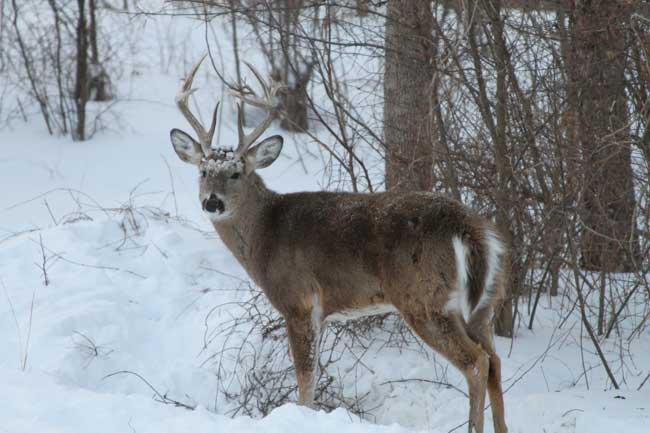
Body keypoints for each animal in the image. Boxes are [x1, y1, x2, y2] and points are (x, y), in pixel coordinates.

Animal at [170, 55, 508, 432]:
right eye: (203, 171)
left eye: (235, 172)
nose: (212, 202)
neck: (266, 234)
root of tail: (468, 227)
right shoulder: (322, 312)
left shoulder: (298, 301)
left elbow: (305, 380)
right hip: (483, 303)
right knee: (495, 361)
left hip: (426, 299)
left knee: (476, 362)